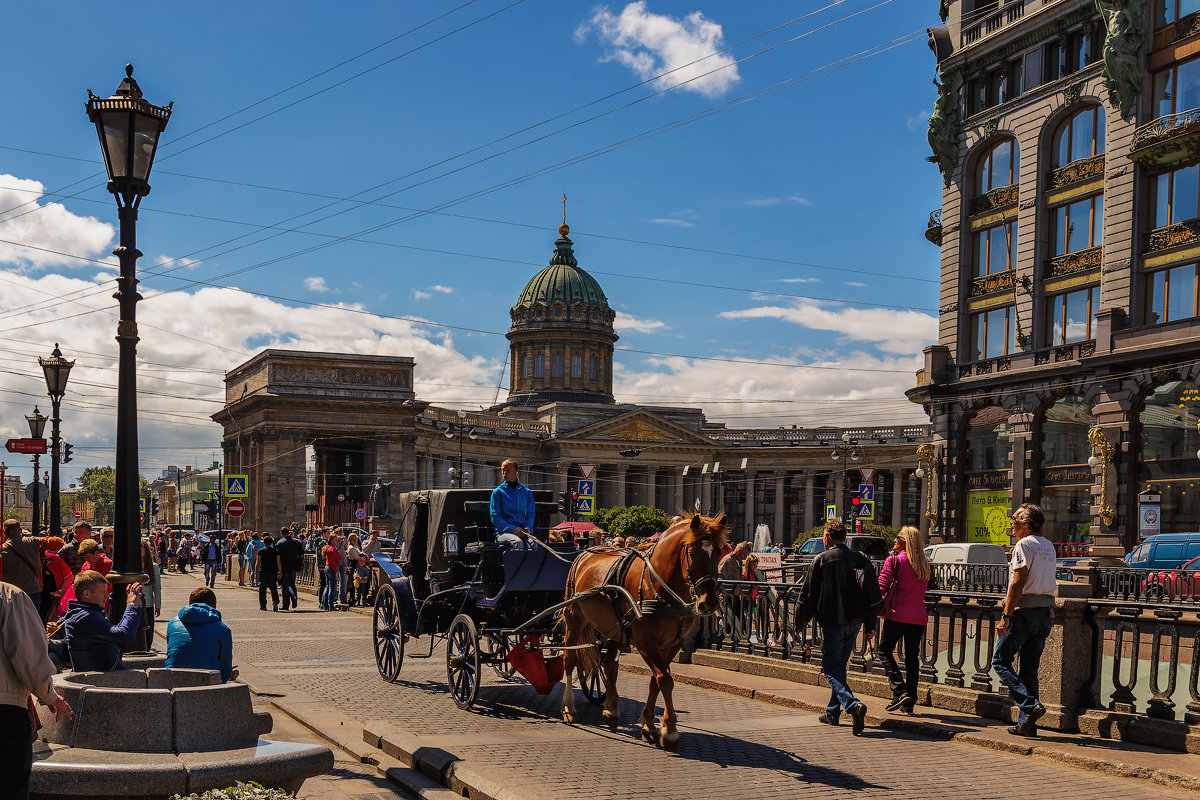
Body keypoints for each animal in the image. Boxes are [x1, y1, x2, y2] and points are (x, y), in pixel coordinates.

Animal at [559, 513, 724, 753]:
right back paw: (568, 708)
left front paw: (650, 724)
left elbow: (656, 680)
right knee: (570, 660)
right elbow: (665, 680)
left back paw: (610, 709)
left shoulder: (672, 644)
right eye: (692, 553)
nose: (709, 603)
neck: (659, 586)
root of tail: (587, 550)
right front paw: (669, 731)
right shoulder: (646, 643)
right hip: (575, 619)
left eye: (719, 552)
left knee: (608, 663)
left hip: (615, 629)